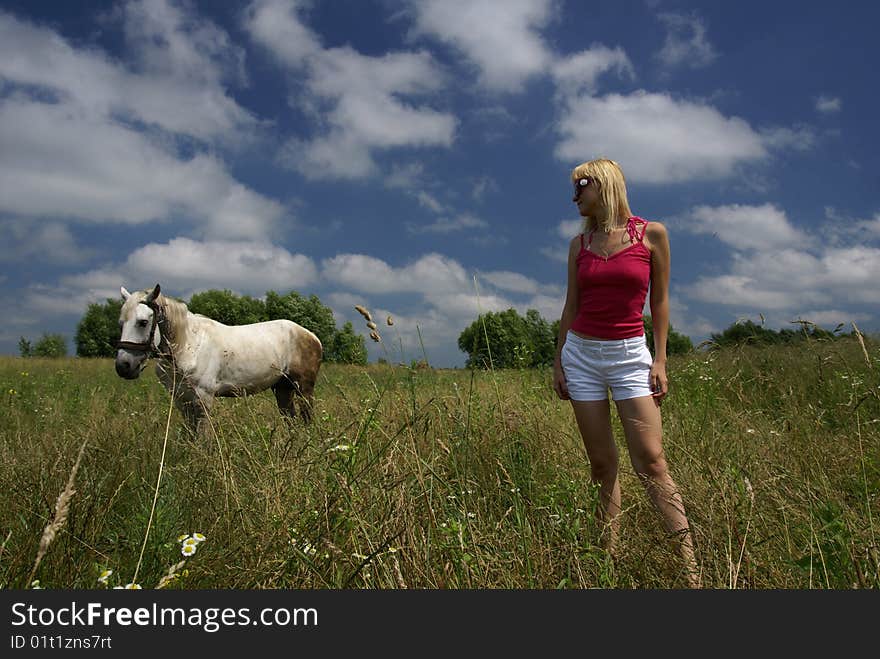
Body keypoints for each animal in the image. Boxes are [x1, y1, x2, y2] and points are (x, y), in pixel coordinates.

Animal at [115, 284, 324, 436]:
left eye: (143, 322)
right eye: (121, 323)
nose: (124, 366)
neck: (189, 345)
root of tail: (312, 337)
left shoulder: (204, 399)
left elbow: (203, 438)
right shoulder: (182, 401)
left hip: (303, 389)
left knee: (307, 419)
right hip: (283, 389)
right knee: (291, 421)